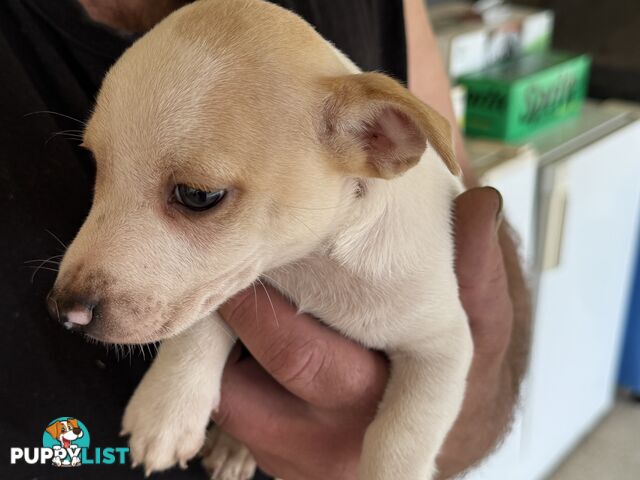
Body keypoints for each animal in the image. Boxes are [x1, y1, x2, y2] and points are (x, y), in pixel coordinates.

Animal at [47, 0, 472, 478]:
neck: (312, 266)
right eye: (98, 166)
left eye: (198, 196)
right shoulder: (220, 284)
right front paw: (167, 408)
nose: (62, 310)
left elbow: (401, 439)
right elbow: (198, 321)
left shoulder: (441, 348)